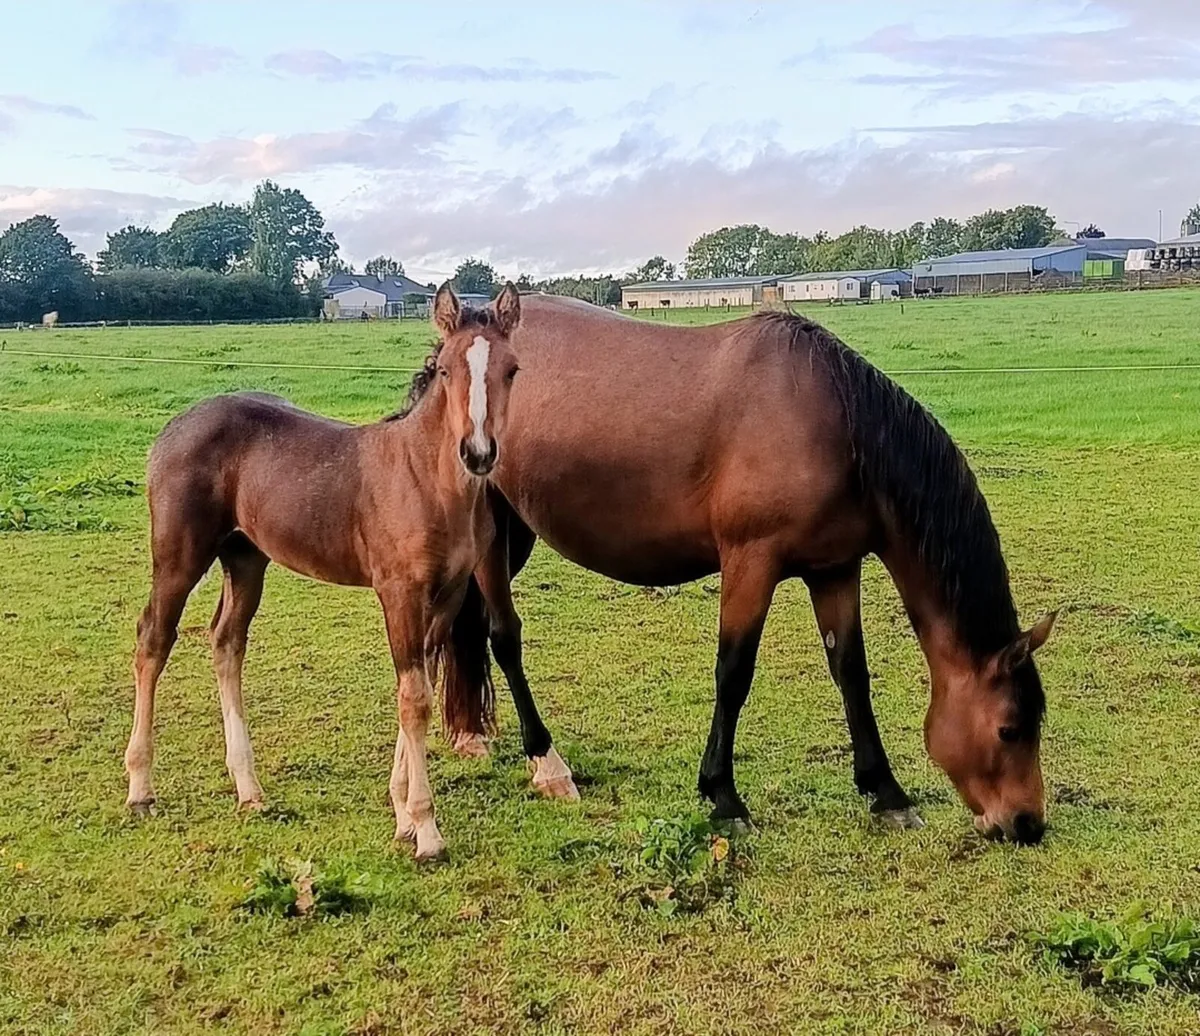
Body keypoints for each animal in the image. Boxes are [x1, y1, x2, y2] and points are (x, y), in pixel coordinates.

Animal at [123, 283, 523, 861]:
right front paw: (425, 830)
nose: (478, 453)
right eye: (445, 370)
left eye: (511, 369)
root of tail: (172, 428)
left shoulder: (443, 596)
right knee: (154, 638)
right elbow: (415, 698)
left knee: (226, 642)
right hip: (179, 556)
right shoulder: (399, 592)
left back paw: (249, 789)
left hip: (245, 558)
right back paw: (140, 788)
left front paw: (402, 815)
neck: (427, 480)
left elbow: (417, 687)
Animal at [446, 295, 1057, 844]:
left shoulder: (835, 569)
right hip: (493, 532)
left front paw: (886, 792)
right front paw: (723, 797)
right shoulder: (750, 561)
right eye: (1008, 729)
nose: (1027, 824)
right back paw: (547, 763)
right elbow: (734, 674)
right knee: (504, 637)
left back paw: (470, 735)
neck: (833, 421)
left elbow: (851, 673)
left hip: (518, 533)